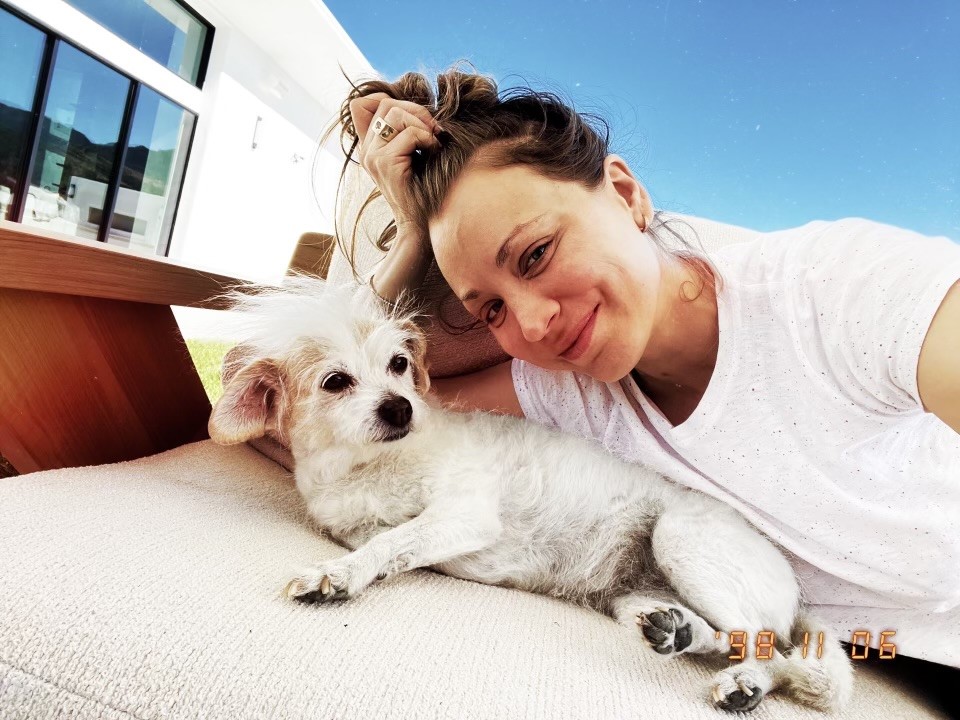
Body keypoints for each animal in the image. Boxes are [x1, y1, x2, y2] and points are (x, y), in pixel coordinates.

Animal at [208, 278, 848, 712]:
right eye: (335, 381)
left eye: (399, 364)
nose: (401, 408)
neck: (366, 467)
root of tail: (796, 596)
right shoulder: (362, 521)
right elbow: (390, 540)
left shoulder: (465, 513)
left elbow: (393, 542)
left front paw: (335, 576)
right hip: (633, 598)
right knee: (727, 638)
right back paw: (680, 632)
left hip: (682, 541)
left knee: (777, 654)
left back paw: (746, 683)